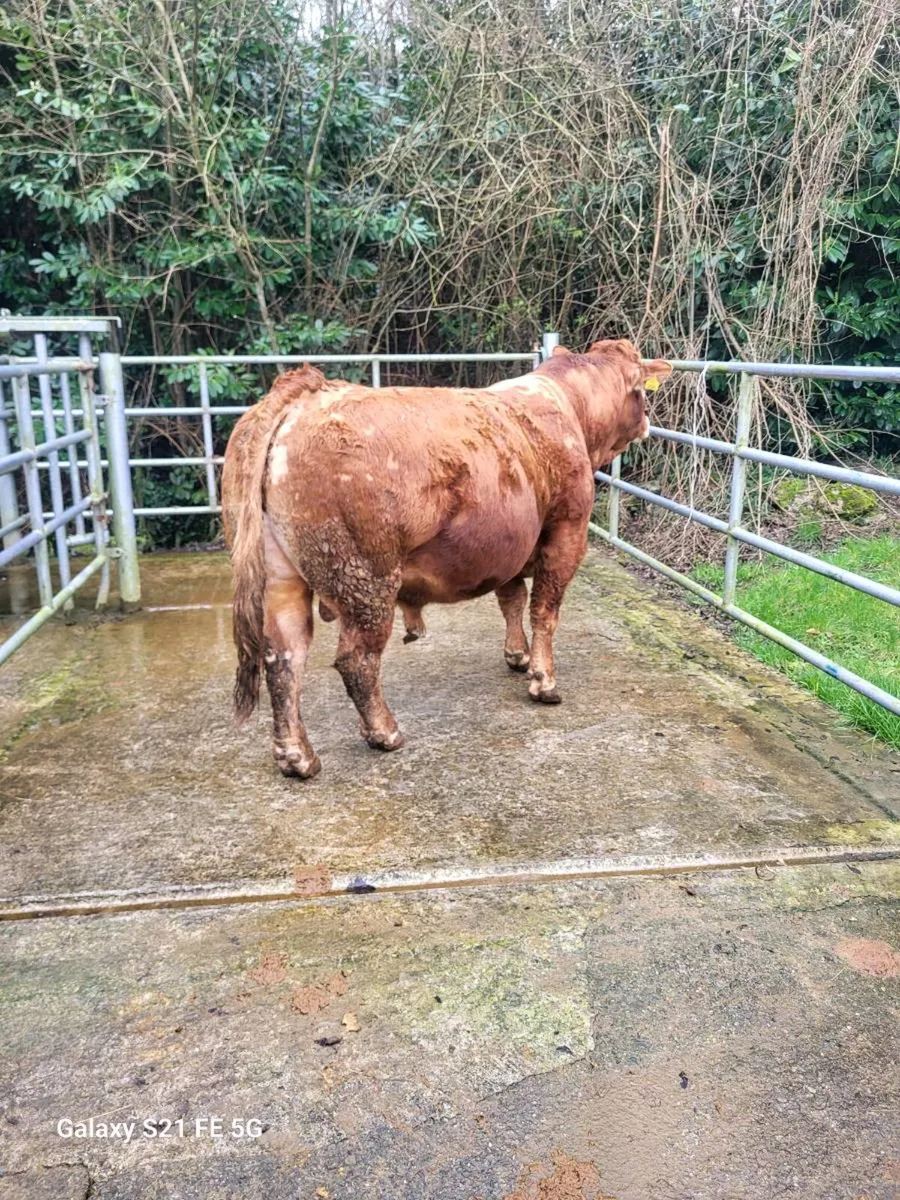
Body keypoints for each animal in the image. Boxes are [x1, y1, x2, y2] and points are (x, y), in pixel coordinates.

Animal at [222, 340, 671, 778]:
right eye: (639, 390)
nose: (648, 422)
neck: (568, 406)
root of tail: (308, 394)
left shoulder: (510, 543)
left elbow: (512, 600)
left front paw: (518, 656)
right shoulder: (567, 533)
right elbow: (545, 609)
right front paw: (544, 681)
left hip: (282, 578)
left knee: (283, 659)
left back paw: (297, 757)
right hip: (367, 579)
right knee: (356, 660)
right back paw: (385, 733)